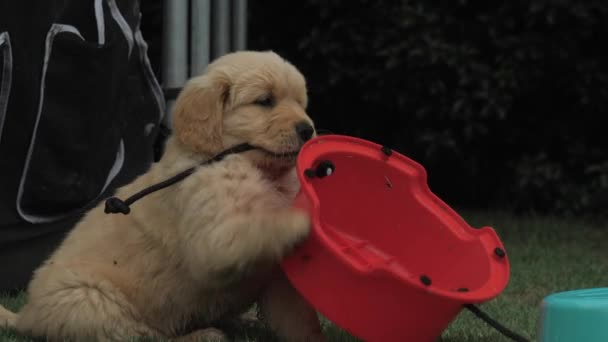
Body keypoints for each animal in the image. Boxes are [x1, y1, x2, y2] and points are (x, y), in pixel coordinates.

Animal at [0, 50, 328, 342]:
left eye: (301, 103)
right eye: (265, 101)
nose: (308, 129)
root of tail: (26, 316)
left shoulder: (276, 278)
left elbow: (296, 316)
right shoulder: (214, 234)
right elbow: (254, 227)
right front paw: (306, 217)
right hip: (88, 299)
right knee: (144, 335)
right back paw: (201, 335)